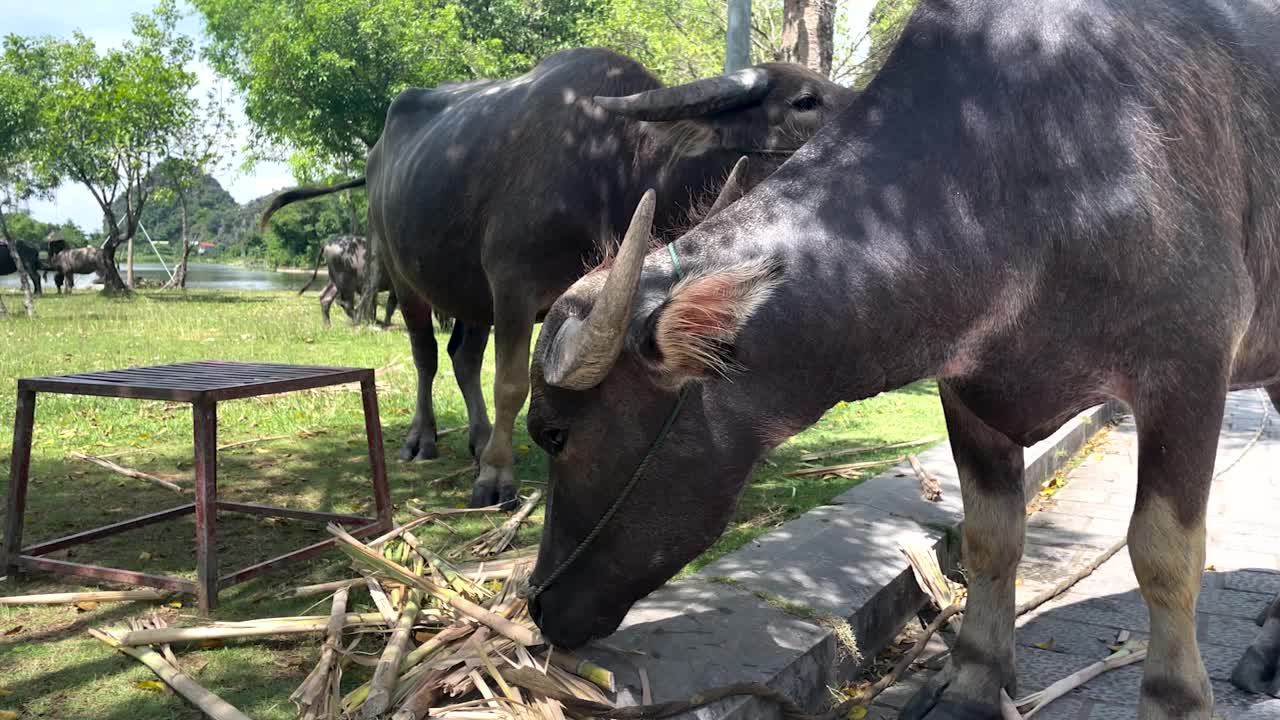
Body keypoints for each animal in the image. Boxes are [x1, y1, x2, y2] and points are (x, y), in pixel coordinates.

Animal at [263, 47, 855, 507]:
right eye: (805, 101)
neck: (609, 161)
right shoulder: (513, 286)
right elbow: (511, 383)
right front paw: (495, 479)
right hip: (405, 279)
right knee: (426, 357)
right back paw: (422, 440)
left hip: (470, 296)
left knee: (462, 356)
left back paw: (479, 439)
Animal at [519, 2, 1280, 712]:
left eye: (554, 434)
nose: (538, 603)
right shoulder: (967, 391)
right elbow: (990, 536)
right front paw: (972, 680)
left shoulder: (1188, 374)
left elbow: (1163, 555)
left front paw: (1176, 698)